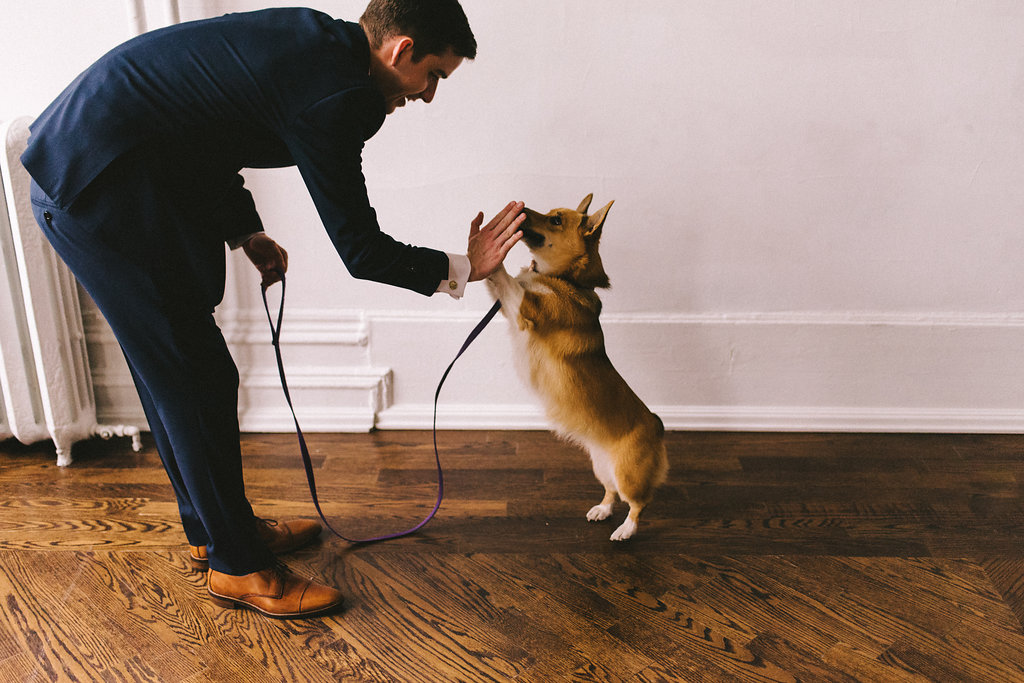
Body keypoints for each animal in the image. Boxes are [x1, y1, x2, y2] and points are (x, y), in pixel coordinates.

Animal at [489, 193, 671, 540]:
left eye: (555, 220)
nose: (519, 207)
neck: (564, 279)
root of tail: (656, 424)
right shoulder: (511, 311)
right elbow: (503, 284)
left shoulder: (528, 308)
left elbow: (508, 280)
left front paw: (492, 254)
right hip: (601, 468)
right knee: (611, 493)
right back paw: (601, 510)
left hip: (628, 474)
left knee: (638, 503)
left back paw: (625, 530)